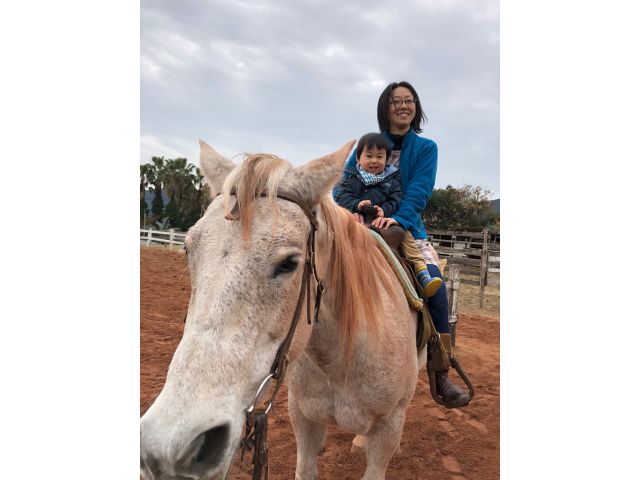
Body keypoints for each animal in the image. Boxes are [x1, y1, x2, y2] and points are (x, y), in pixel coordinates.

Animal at [140, 140, 429, 480]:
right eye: (187, 249)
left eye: (290, 263)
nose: (173, 449)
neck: (341, 360)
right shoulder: (303, 420)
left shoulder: (388, 431)